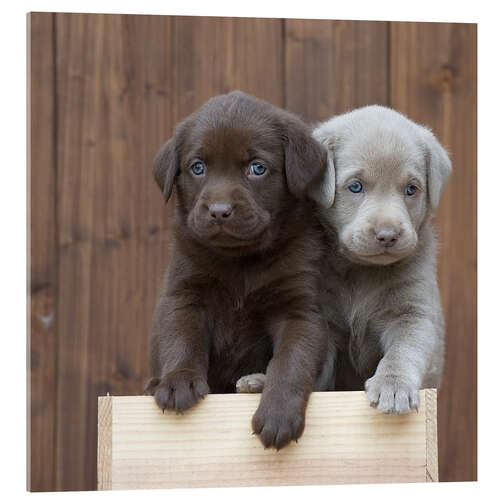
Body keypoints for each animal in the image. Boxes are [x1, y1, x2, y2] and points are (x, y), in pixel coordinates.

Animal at [146, 92, 328, 452]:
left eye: (257, 168)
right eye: (197, 167)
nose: (219, 212)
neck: (240, 262)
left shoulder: (299, 309)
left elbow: (291, 359)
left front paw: (278, 413)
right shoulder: (185, 292)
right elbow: (182, 337)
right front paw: (178, 382)